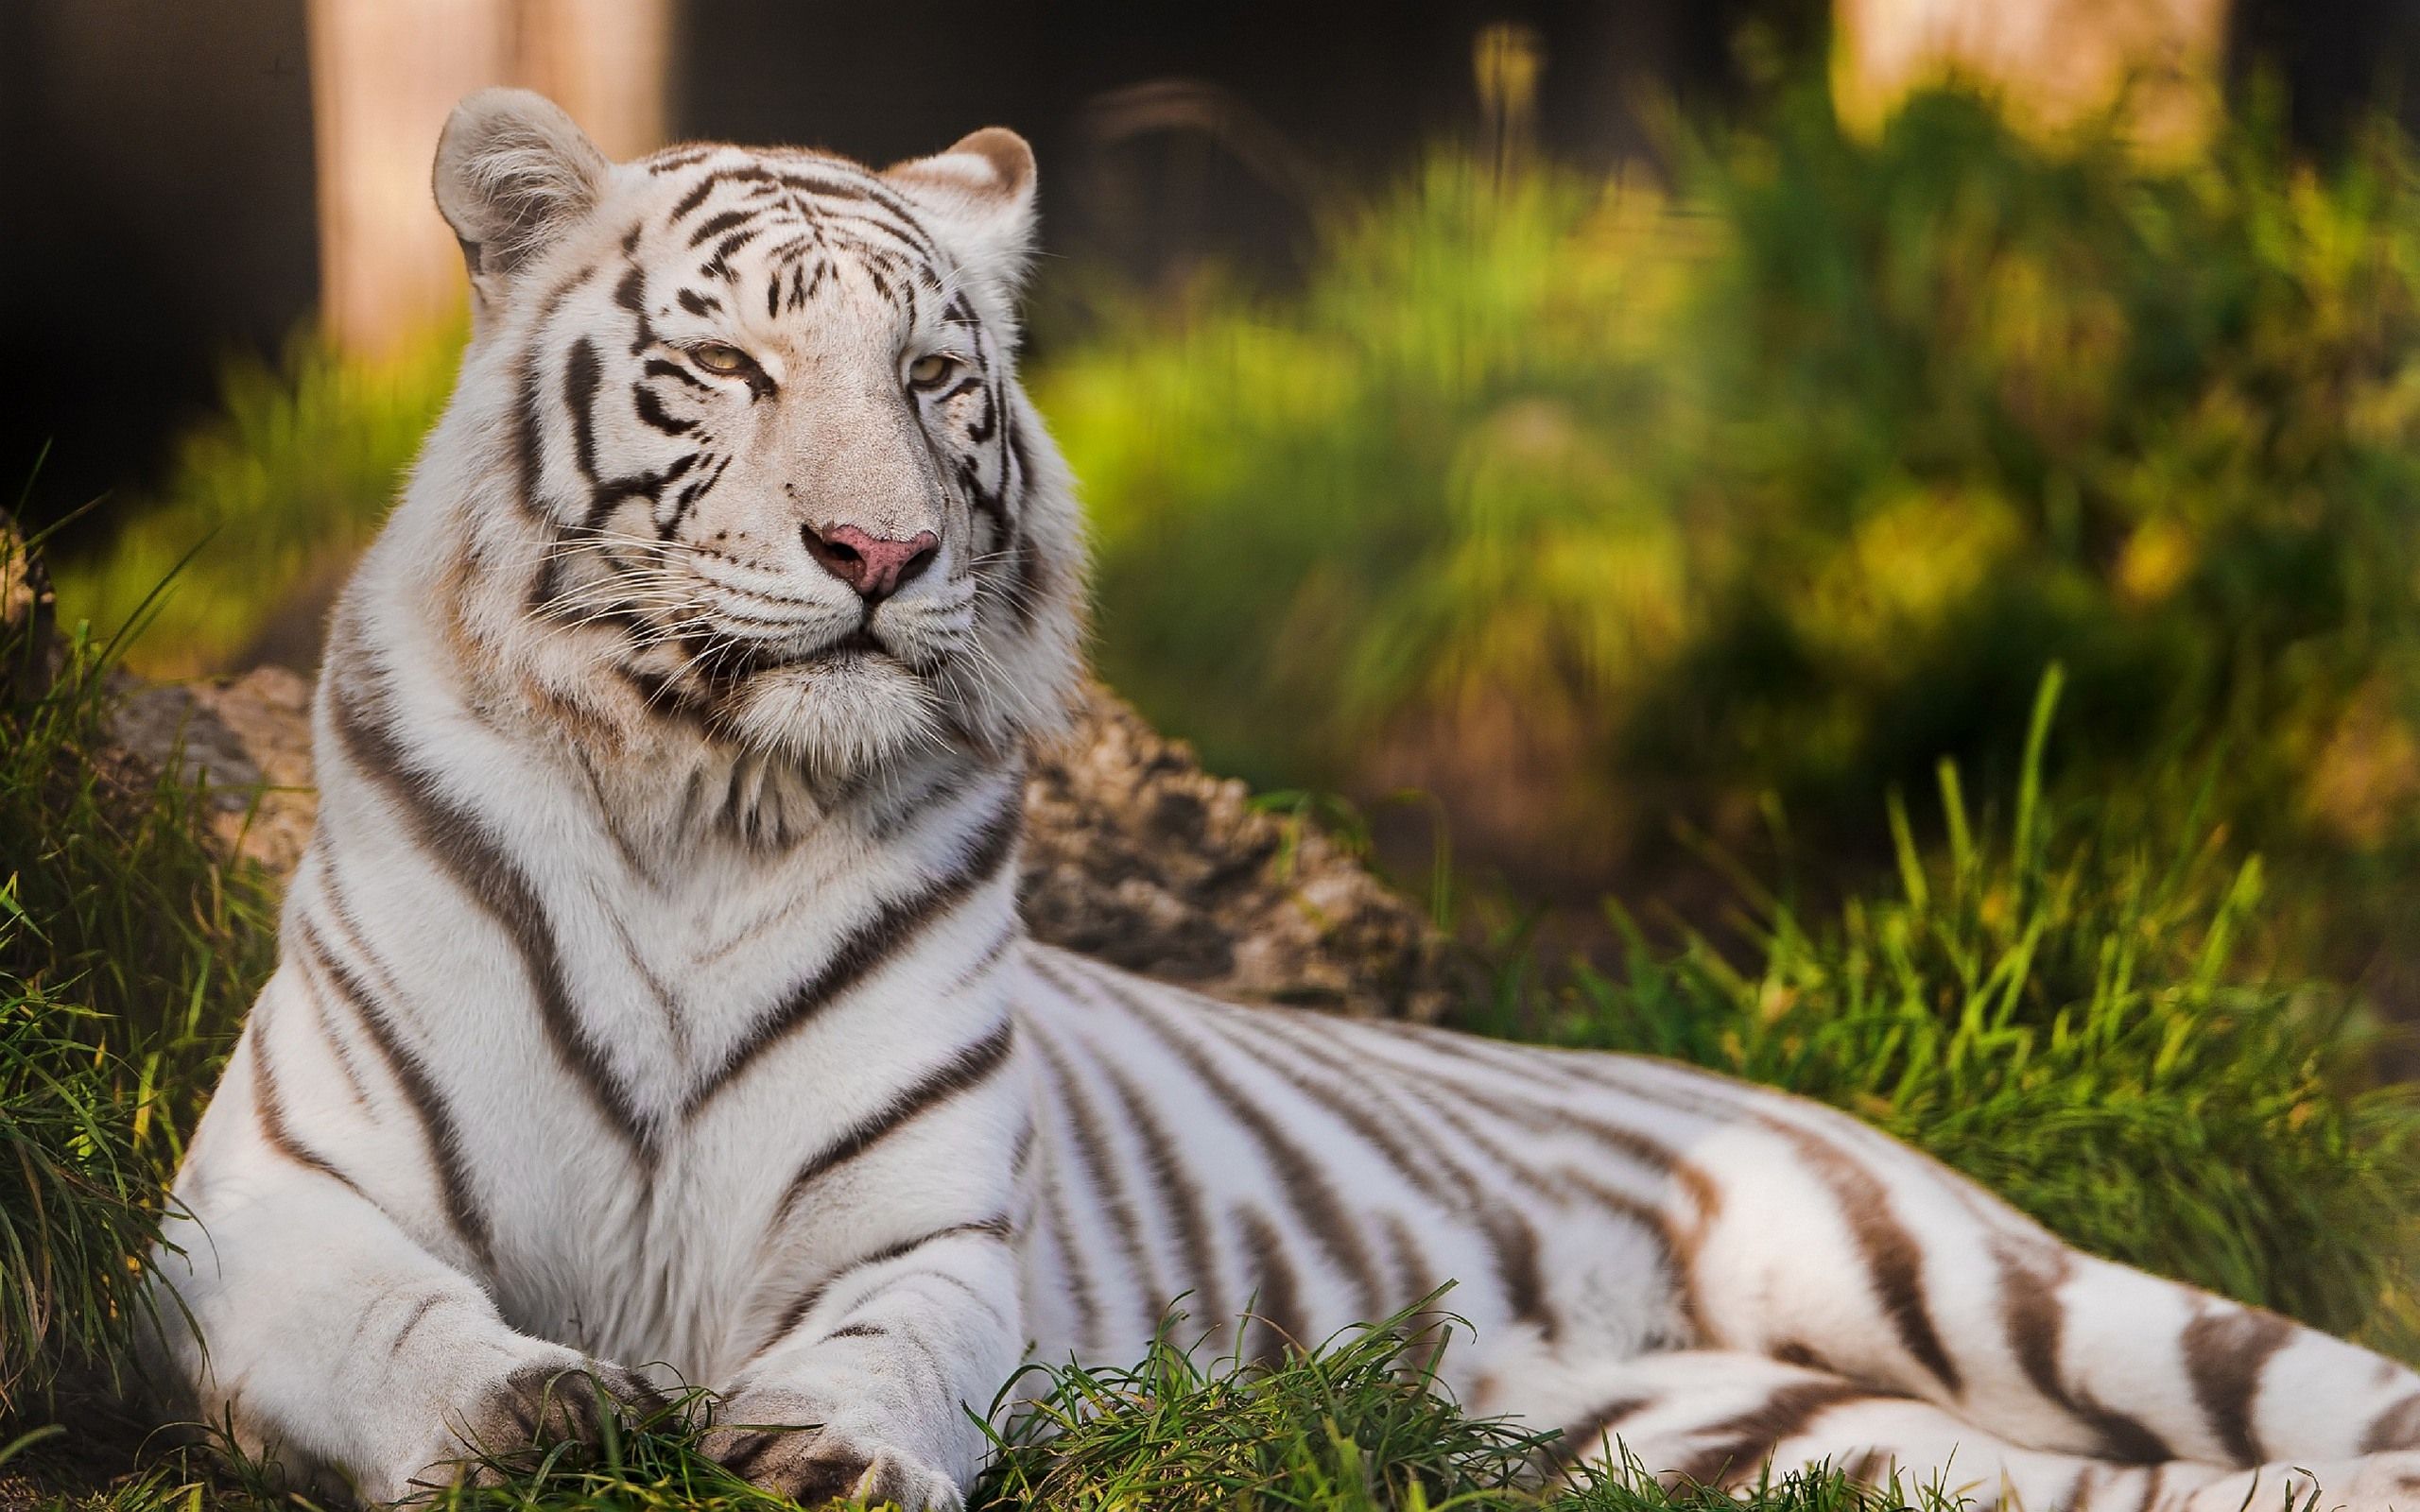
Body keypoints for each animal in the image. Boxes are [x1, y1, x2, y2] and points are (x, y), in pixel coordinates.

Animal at [144, 86, 2420, 1512]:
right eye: (726, 372)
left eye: (937, 384)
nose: (880, 553)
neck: (708, 795)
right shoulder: (267, 1202)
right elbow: (403, 1326)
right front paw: (542, 1416)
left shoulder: (931, 1228)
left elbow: (883, 1345)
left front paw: (818, 1444)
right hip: (1744, 1438)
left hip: (1979, 1277)